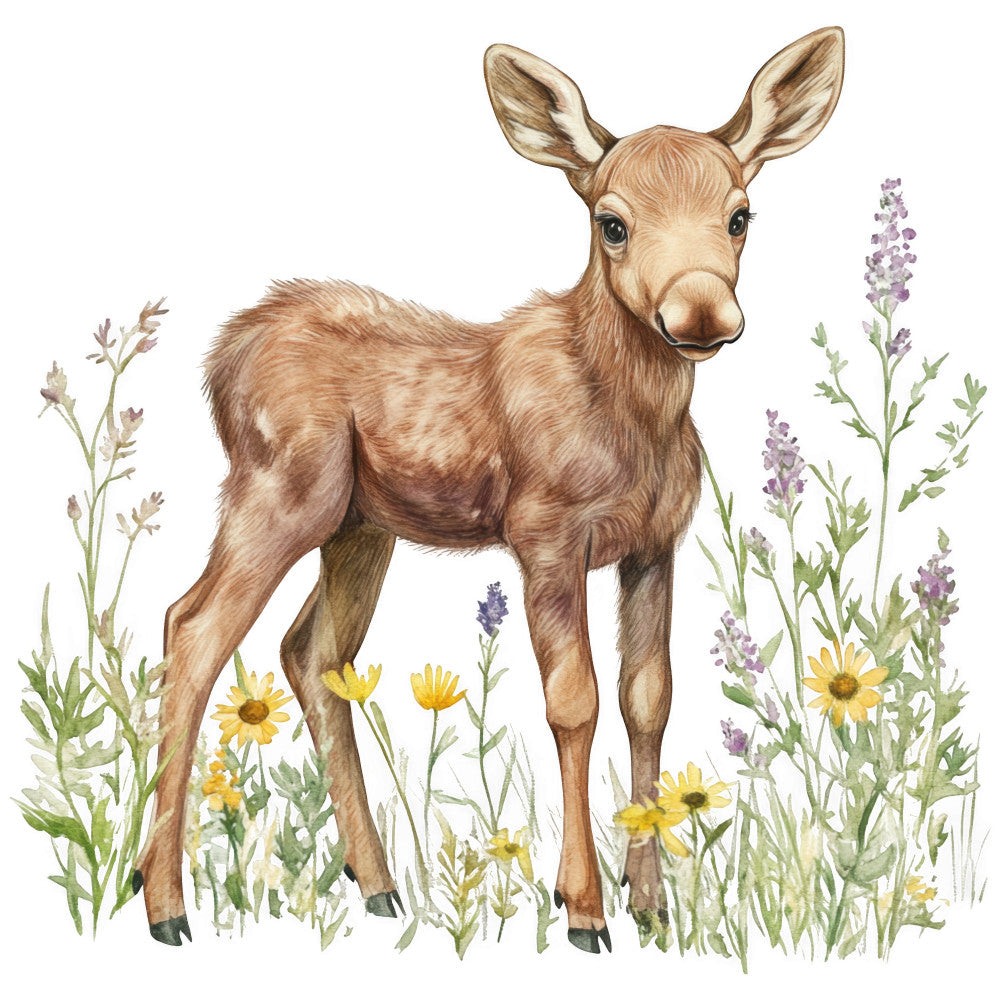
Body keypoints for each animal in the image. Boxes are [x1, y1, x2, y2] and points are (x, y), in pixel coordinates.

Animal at [133, 26, 844, 952]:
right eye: (612, 223)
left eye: (739, 215)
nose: (698, 314)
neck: (632, 427)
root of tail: (219, 362)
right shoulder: (545, 532)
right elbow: (574, 703)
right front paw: (583, 908)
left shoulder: (655, 544)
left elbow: (648, 699)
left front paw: (651, 902)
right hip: (280, 489)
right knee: (193, 625)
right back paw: (164, 902)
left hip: (360, 525)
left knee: (312, 652)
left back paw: (377, 885)